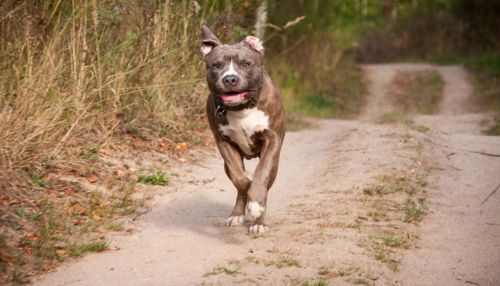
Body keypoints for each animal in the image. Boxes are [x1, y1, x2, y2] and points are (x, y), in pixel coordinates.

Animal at [200, 25, 286, 233]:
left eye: (246, 63)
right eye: (216, 65)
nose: (230, 79)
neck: (242, 108)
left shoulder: (272, 140)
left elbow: (262, 174)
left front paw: (257, 205)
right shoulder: (224, 142)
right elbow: (240, 179)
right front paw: (248, 190)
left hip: (275, 162)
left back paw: (259, 221)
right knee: (239, 183)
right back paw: (237, 214)